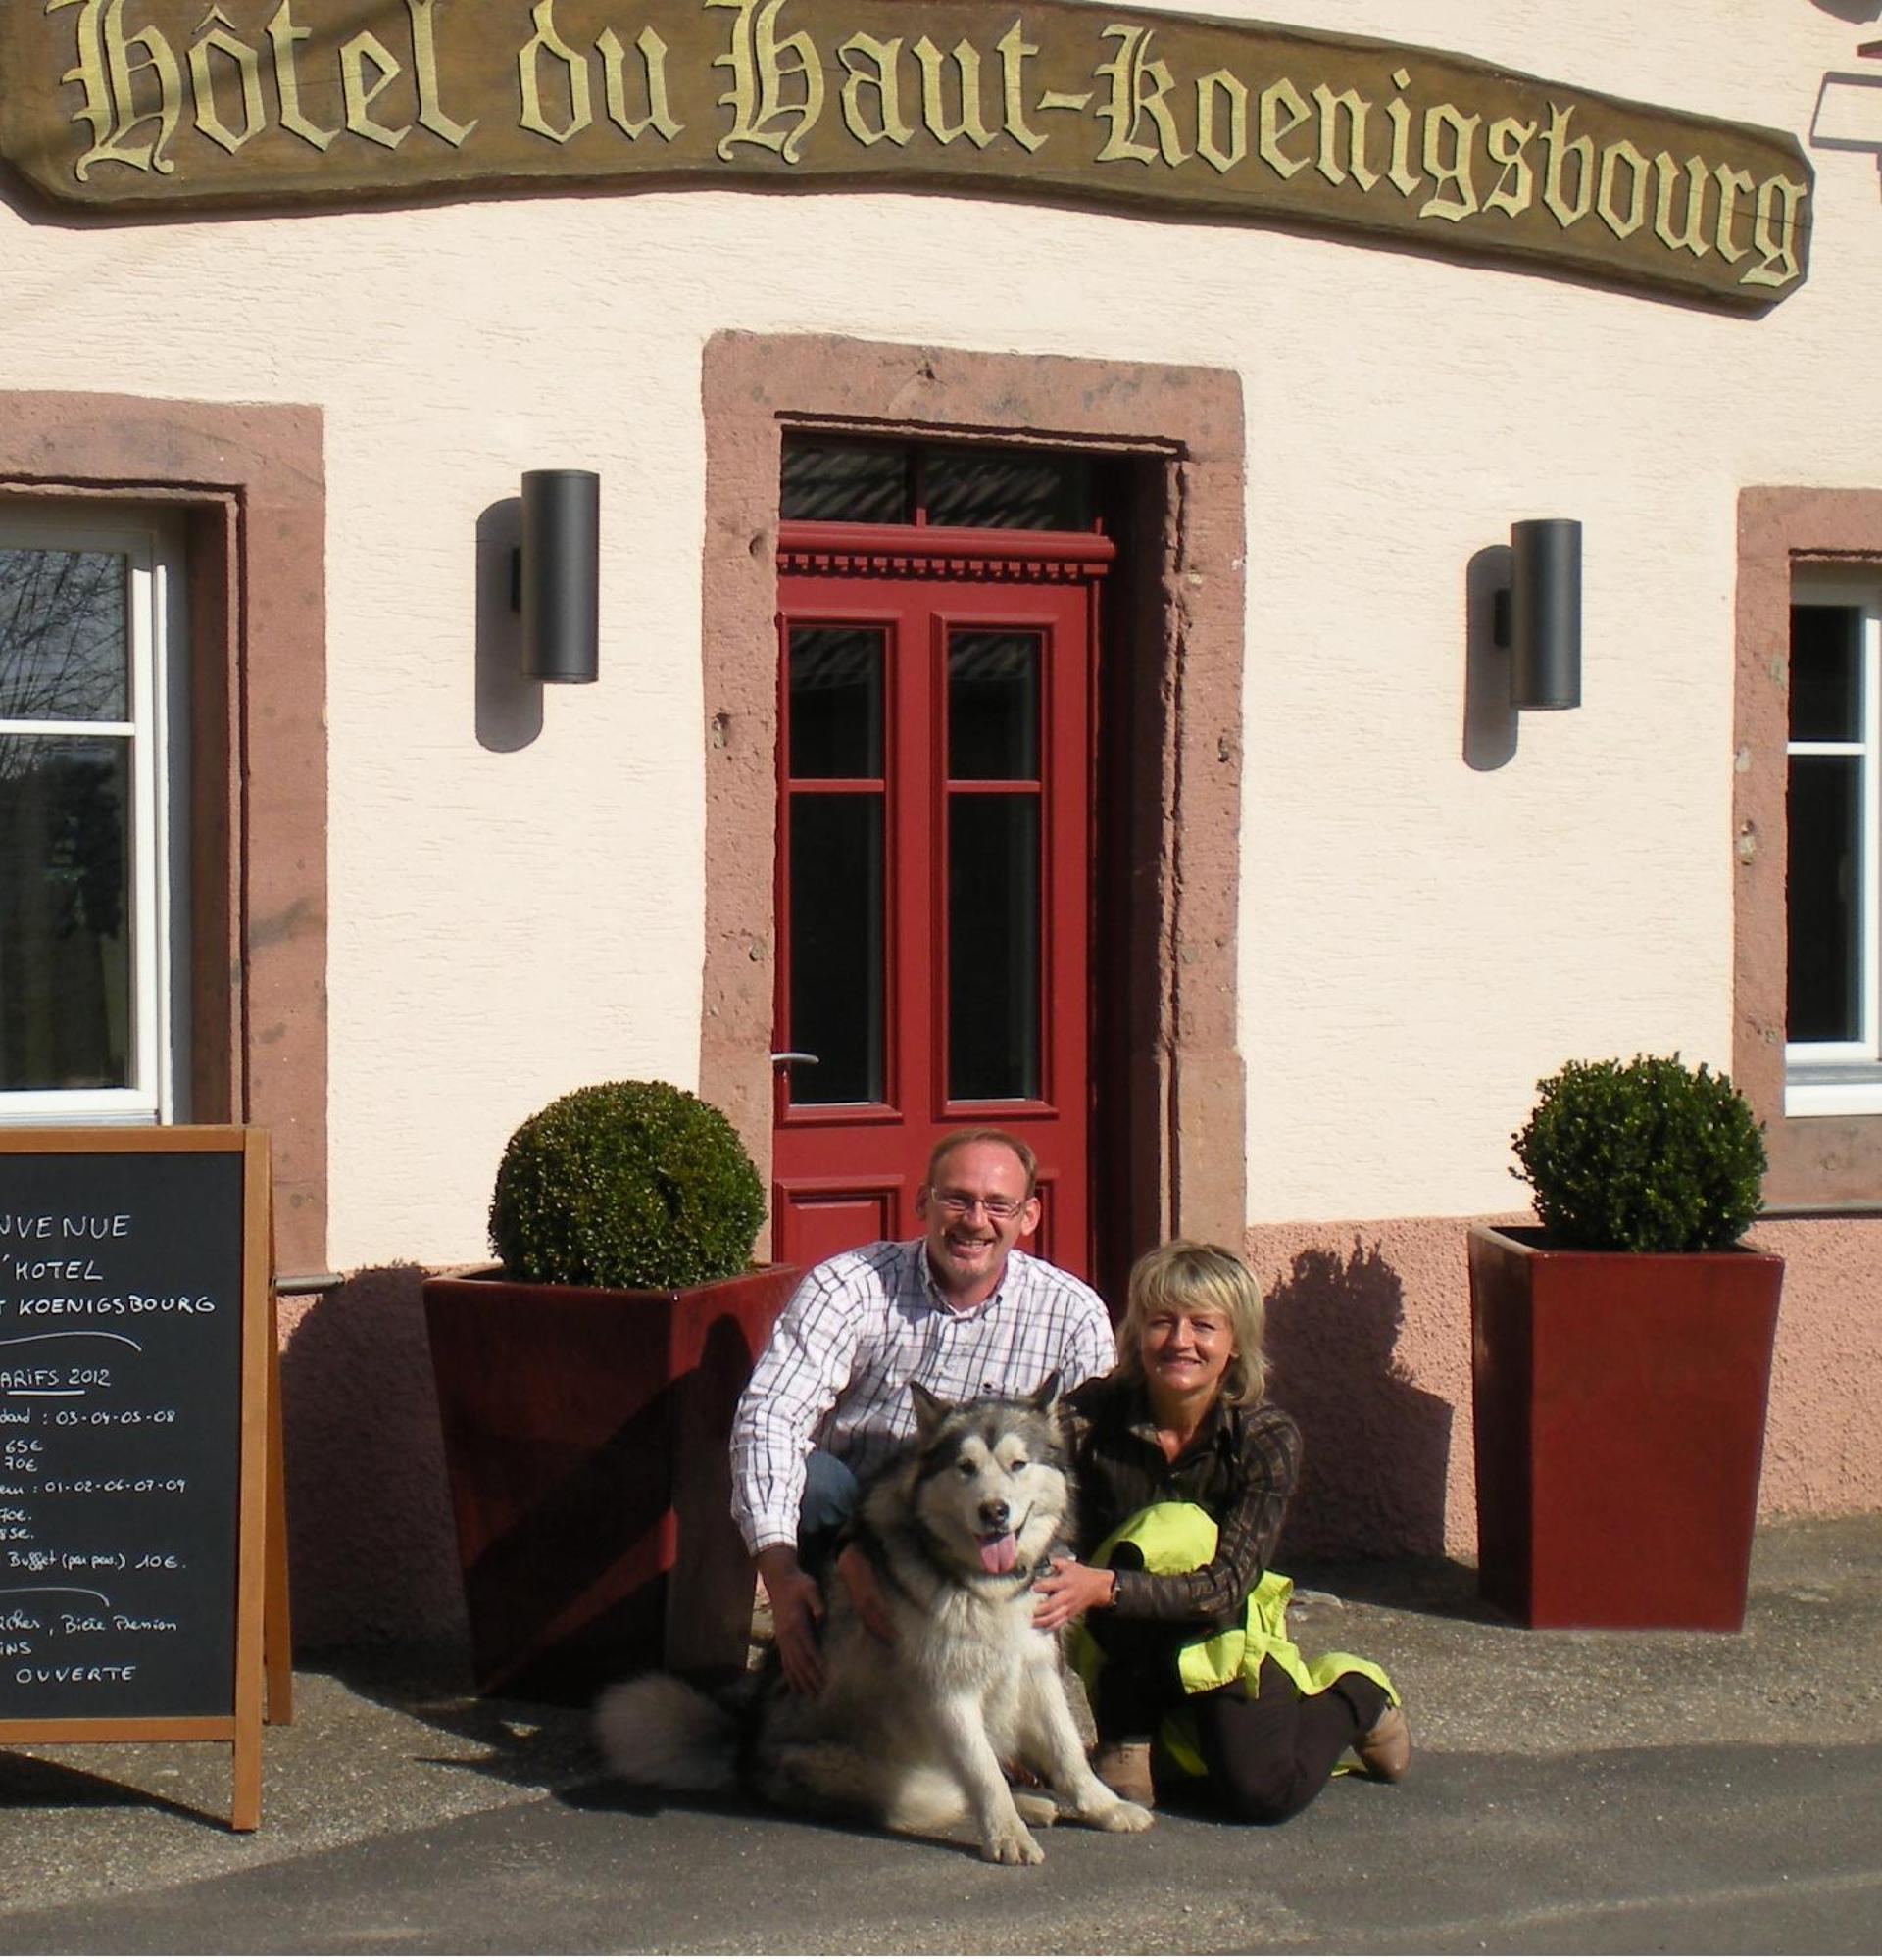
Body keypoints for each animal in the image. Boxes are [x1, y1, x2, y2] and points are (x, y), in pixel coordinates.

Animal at [604, 1380, 1153, 1866]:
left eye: (1018, 1465)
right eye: (966, 1467)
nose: (994, 1511)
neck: (979, 1583)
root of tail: (743, 1748)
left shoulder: (1035, 1668)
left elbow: (1067, 1751)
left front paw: (1104, 1807)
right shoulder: (946, 1692)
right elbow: (983, 1775)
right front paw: (1006, 1835)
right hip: (891, 1780)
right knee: (953, 1792)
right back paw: (1023, 1810)